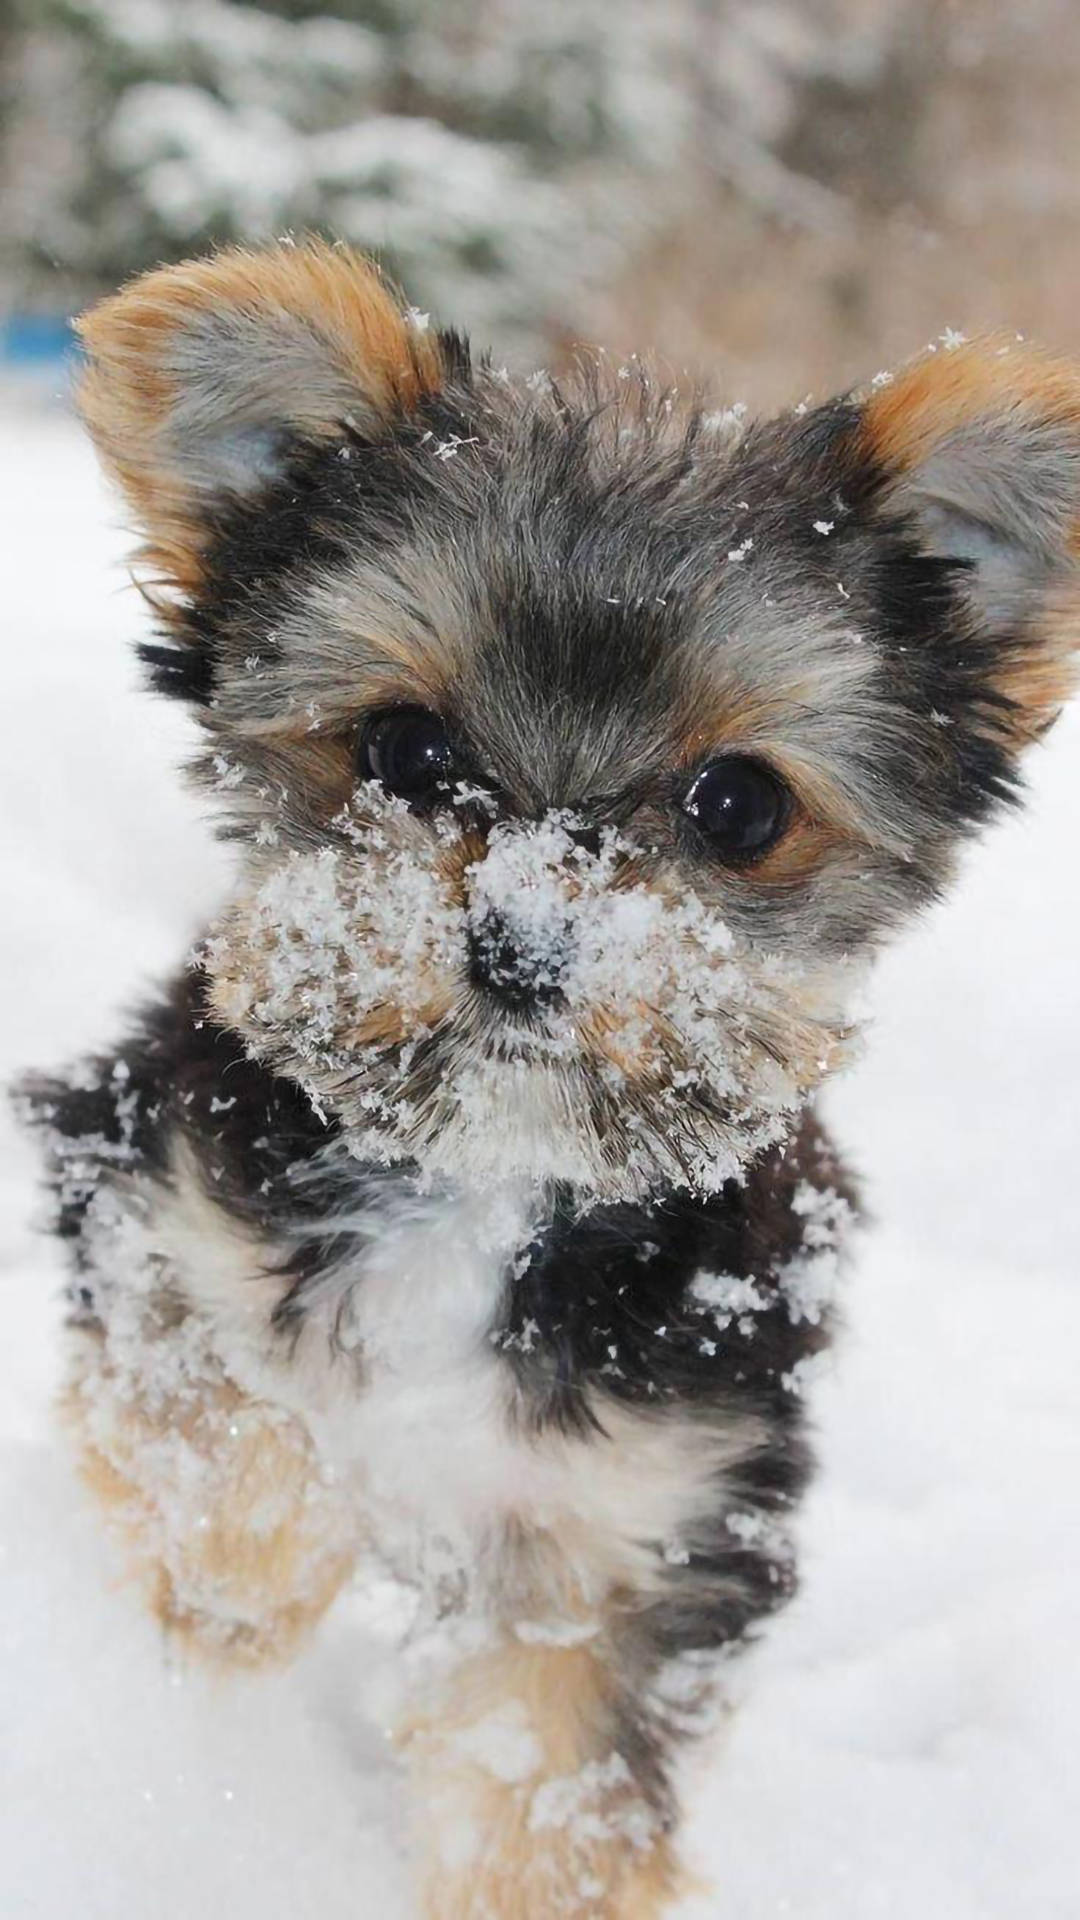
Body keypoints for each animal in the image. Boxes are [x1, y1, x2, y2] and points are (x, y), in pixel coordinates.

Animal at [18, 243, 1076, 1920]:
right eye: (403, 750)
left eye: (738, 806)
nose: (523, 940)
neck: (492, 1175)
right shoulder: (151, 1187)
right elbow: (219, 1419)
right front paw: (239, 1588)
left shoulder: (646, 1504)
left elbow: (549, 1755)